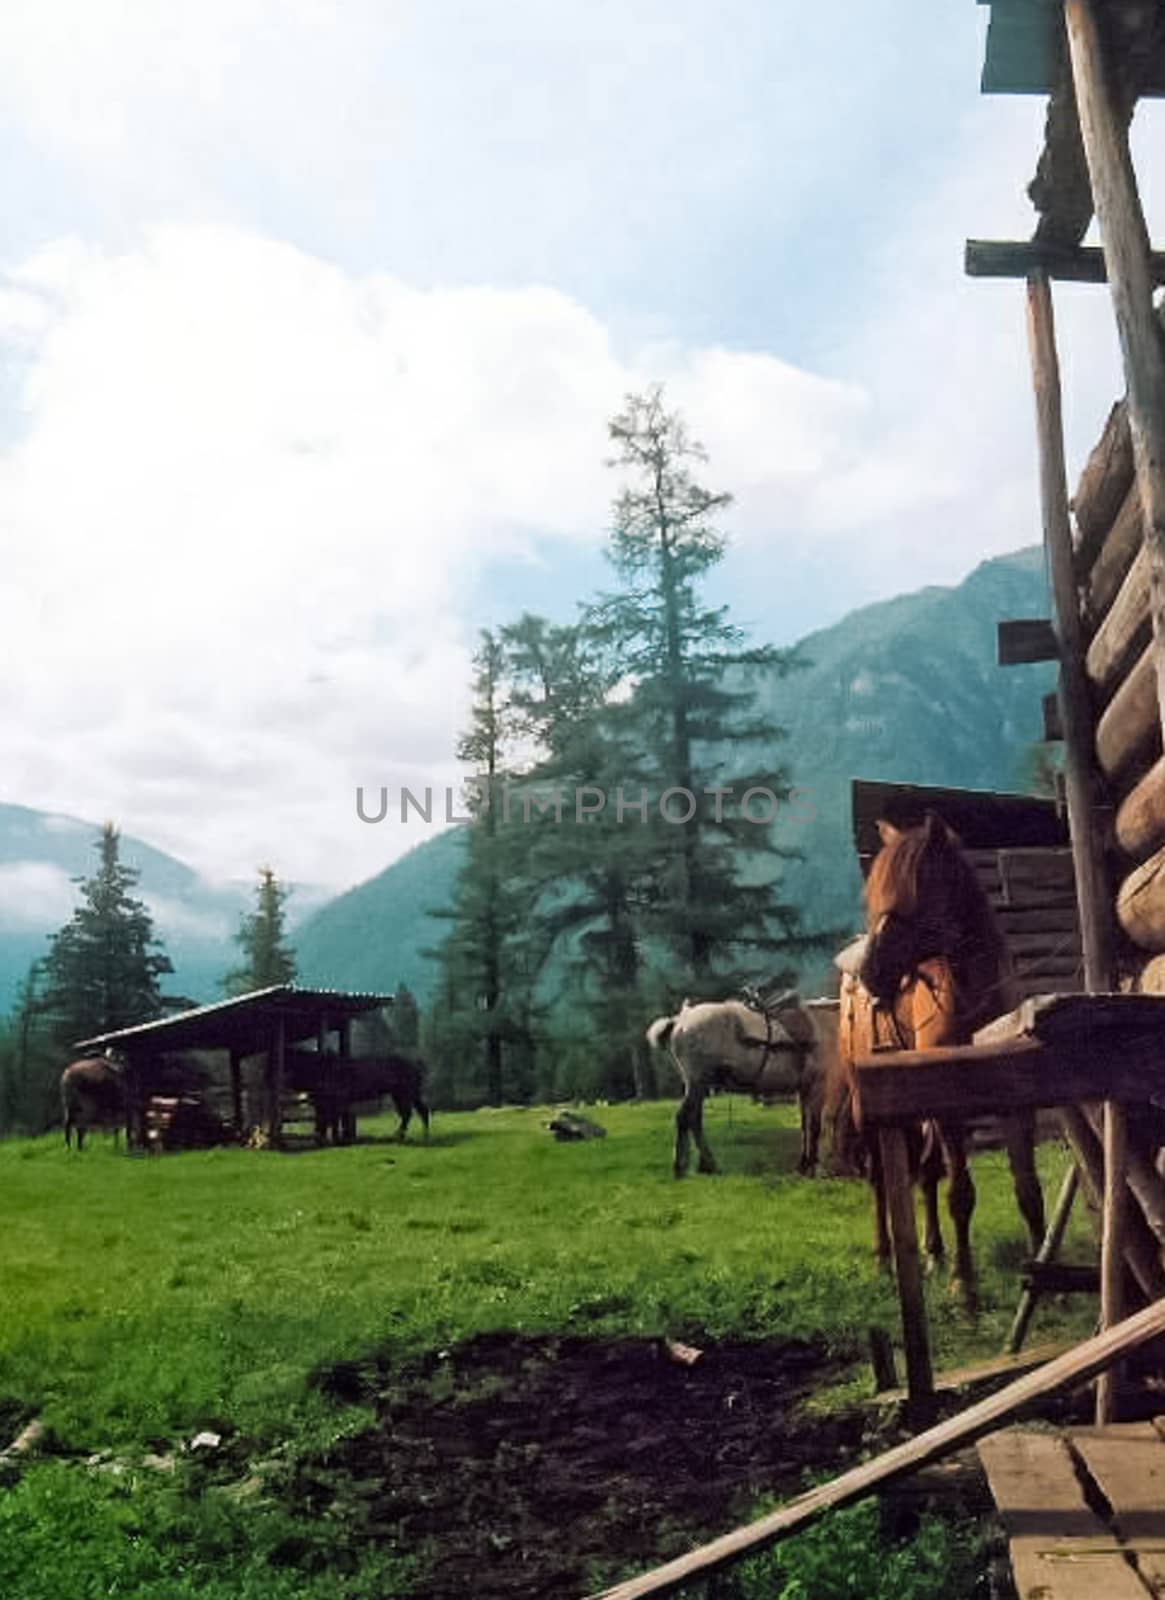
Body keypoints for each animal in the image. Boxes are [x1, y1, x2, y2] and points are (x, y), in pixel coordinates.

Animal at [649, 992, 832, 1184]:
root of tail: (680, 1021)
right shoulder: (817, 1087)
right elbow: (814, 1127)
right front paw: (812, 1167)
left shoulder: (804, 1090)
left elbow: (805, 1127)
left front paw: (803, 1165)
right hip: (697, 1083)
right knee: (685, 1118)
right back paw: (682, 1167)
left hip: (698, 1085)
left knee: (694, 1120)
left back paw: (706, 1165)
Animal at [825, 812, 1049, 1312]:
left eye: (917, 888)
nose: (872, 973)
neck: (977, 1006)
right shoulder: (950, 1113)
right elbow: (960, 1192)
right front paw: (965, 1286)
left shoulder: (1016, 1104)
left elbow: (1027, 1187)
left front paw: (1044, 1269)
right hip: (869, 1112)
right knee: (881, 1180)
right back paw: (885, 1258)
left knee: (926, 1173)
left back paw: (933, 1253)